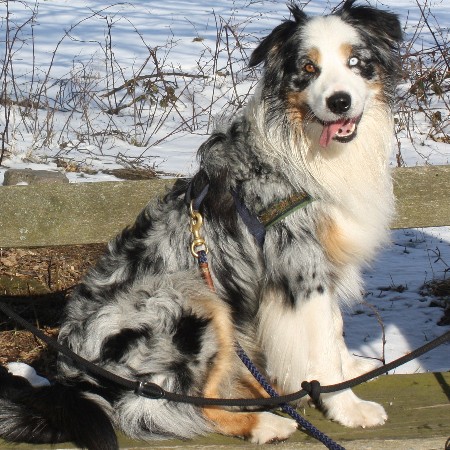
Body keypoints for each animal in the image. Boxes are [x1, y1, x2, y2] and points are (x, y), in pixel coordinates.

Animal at [0, 1, 402, 448]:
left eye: (356, 62)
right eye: (308, 68)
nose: (339, 101)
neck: (307, 145)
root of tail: (76, 376)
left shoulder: (323, 264)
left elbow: (334, 329)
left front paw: (349, 371)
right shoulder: (299, 265)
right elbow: (322, 345)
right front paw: (345, 405)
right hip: (190, 300)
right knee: (181, 406)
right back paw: (266, 423)